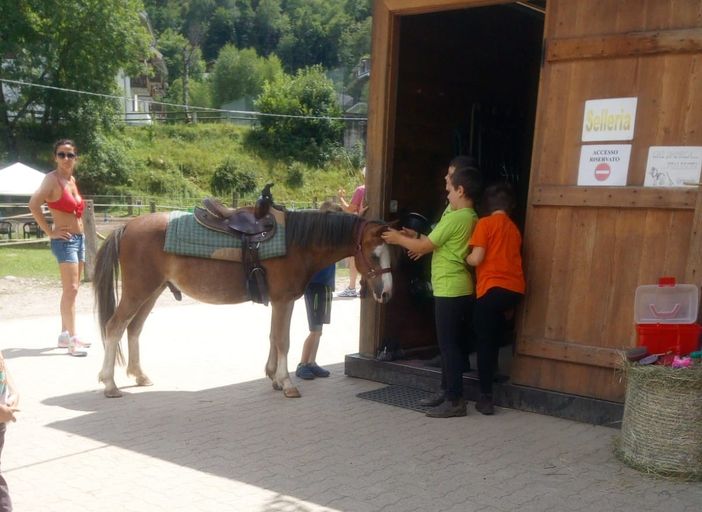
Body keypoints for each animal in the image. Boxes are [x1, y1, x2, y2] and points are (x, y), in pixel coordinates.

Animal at [93, 209, 393, 398]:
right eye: (374, 255)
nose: (387, 294)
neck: (296, 243)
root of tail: (127, 226)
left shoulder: (280, 302)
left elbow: (273, 337)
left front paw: (273, 377)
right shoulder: (283, 300)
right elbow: (282, 340)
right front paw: (286, 383)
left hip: (151, 292)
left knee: (134, 329)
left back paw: (139, 375)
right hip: (138, 291)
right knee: (114, 327)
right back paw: (109, 384)